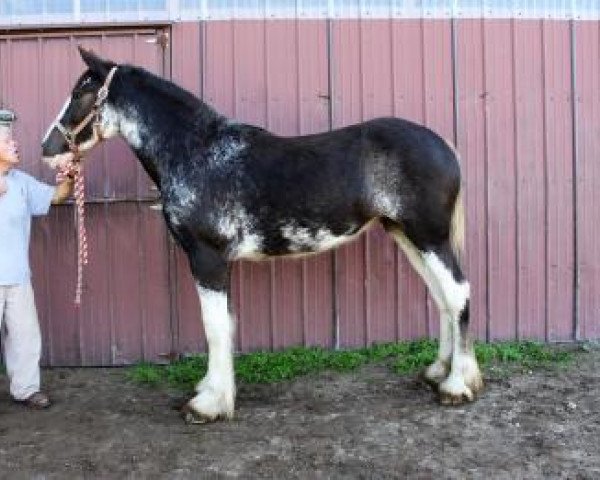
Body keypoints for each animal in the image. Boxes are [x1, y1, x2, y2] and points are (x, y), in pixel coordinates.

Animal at [41, 47, 482, 424]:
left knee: (457, 293)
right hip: (407, 235)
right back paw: (437, 372)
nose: (48, 148)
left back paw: (457, 386)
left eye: (81, 92)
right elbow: (223, 325)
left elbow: (216, 327)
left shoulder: (207, 258)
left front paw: (209, 404)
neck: (198, 153)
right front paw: (210, 389)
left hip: (429, 236)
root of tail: (443, 144)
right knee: (443, 298)